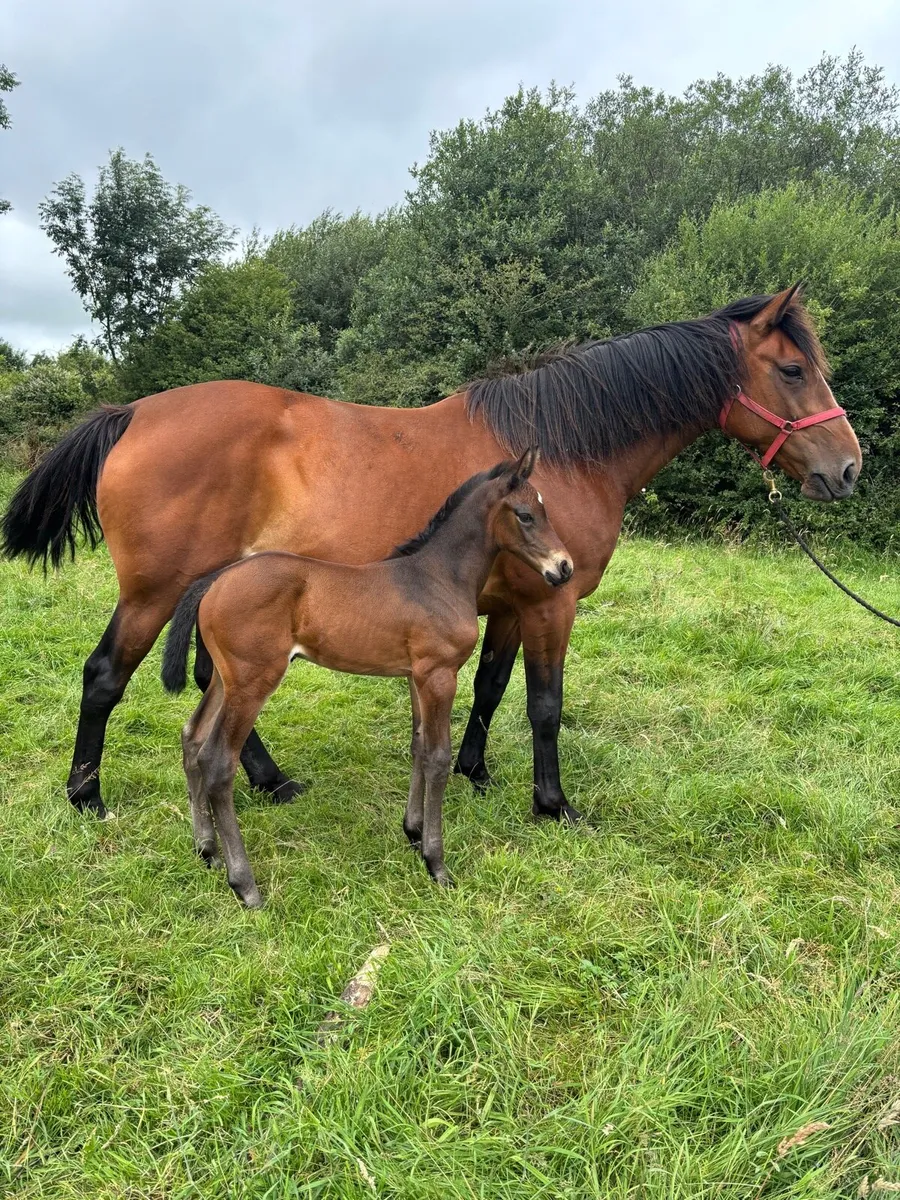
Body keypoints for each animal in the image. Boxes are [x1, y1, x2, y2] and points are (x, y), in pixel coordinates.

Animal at [2, 284, 861, 823]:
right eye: (792, 369)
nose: (848, 468)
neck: (566, 449)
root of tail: (134, 412)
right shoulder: (552, 601)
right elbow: (545, 705)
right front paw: (554, 805)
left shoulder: (512, 601)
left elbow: (490, 688)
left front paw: (477, 771)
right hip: (155, 592)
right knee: (105, 677)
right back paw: (88, 797)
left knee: (217, 681)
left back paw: (271, 782)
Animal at [160, 450, 572, 905]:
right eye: (526, 515)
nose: (564, 567)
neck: (438, 578)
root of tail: (215, 580)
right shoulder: (440, 675)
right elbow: (439, 758)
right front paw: (437, 864)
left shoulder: (416, 676)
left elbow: (419, 747)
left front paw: (413, 833)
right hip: (252, 682)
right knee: (217, 760)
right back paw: (244, 884)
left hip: (225, 679)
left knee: (192, 737)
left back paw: (207, 851)